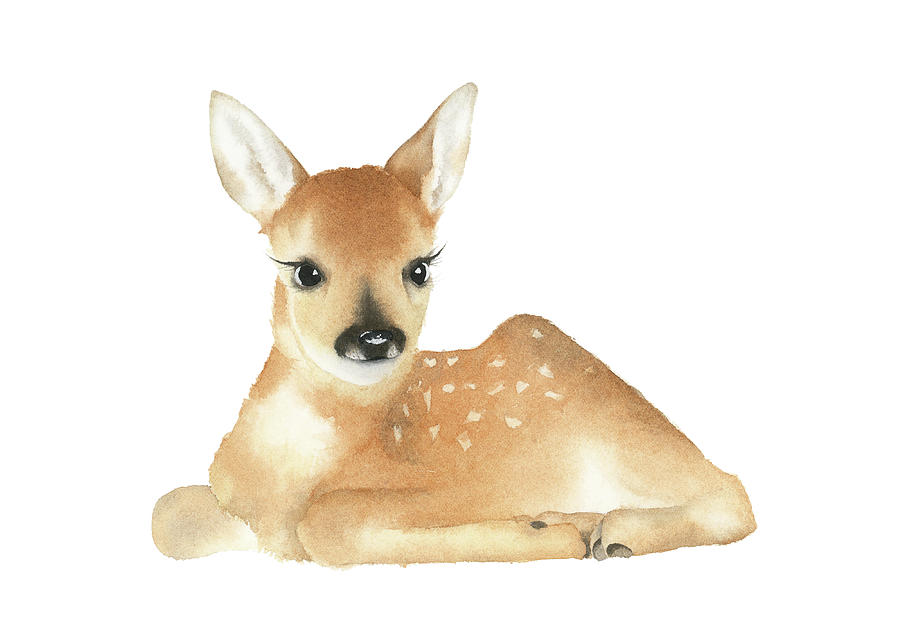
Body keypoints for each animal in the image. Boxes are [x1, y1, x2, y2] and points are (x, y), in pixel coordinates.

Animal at [151, 83, 756, 566]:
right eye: (305, 270)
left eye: (419, 267)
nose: (374, 338)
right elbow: (166, 515)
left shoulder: (483, 480)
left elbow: (329, 519)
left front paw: (551, 529)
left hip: (612, 430)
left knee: (733, 493)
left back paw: (613, 532)